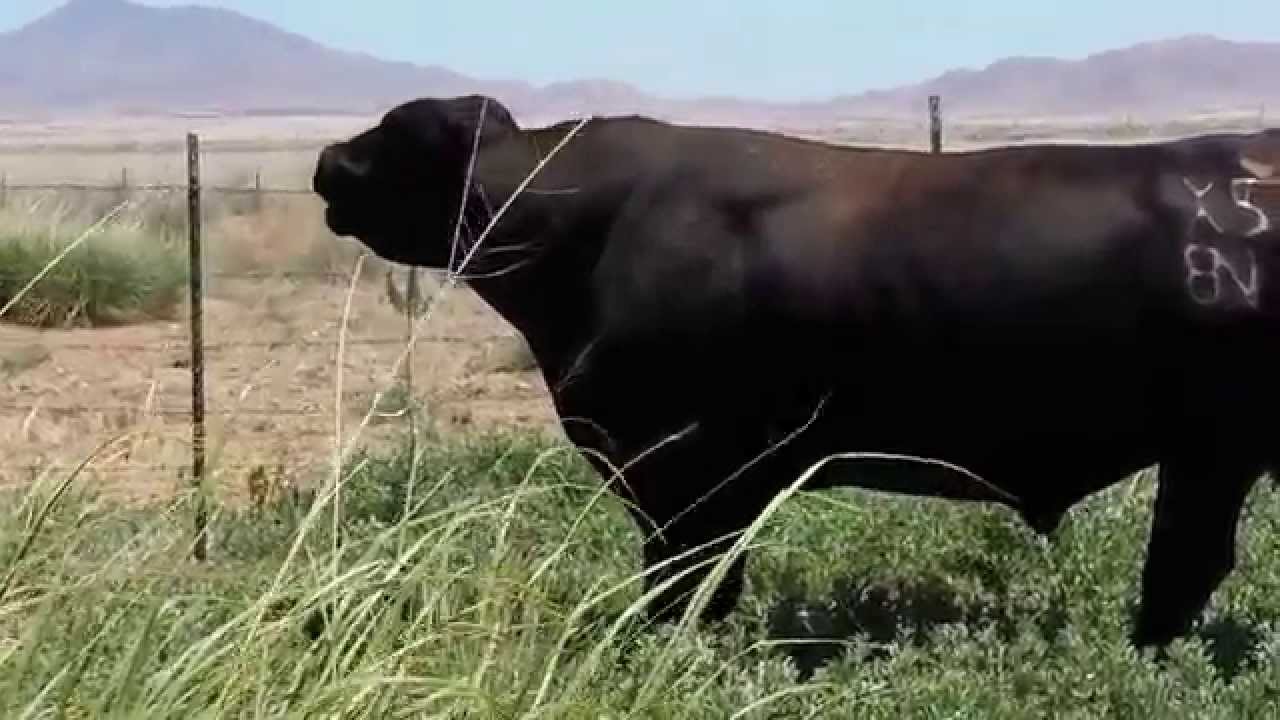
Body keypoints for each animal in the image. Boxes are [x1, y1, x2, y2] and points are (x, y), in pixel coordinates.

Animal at [312, 93, 1280, 650]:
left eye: (394, 132)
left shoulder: (682, 470)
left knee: (1183, 564)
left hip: (1214, 448)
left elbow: (687, 585)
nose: (323, 161)